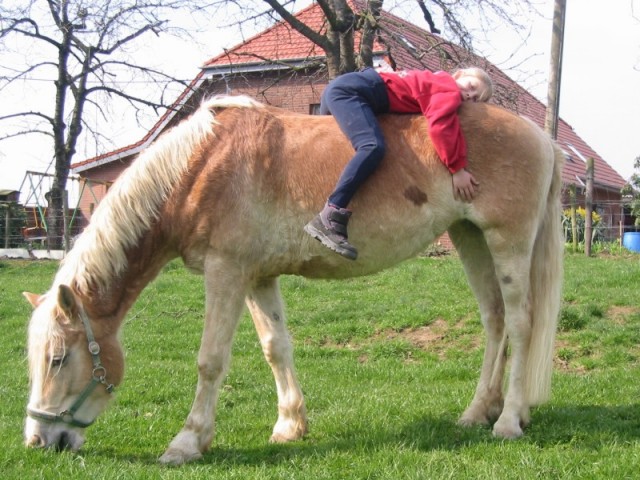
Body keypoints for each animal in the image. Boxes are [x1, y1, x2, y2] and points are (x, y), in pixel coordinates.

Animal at [23, 94, 564, 464]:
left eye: (58, 358)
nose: (38, 441)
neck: (201, 166)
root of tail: (543, 139)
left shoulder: (226, 271)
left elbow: (210, 362)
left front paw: (188, 441)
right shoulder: (257, 277)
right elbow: (275, 348)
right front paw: (289, 425)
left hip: (507, 241)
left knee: (521, 324)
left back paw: (509, 421)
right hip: (470, 238)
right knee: (494, 320)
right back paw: (479, 412)